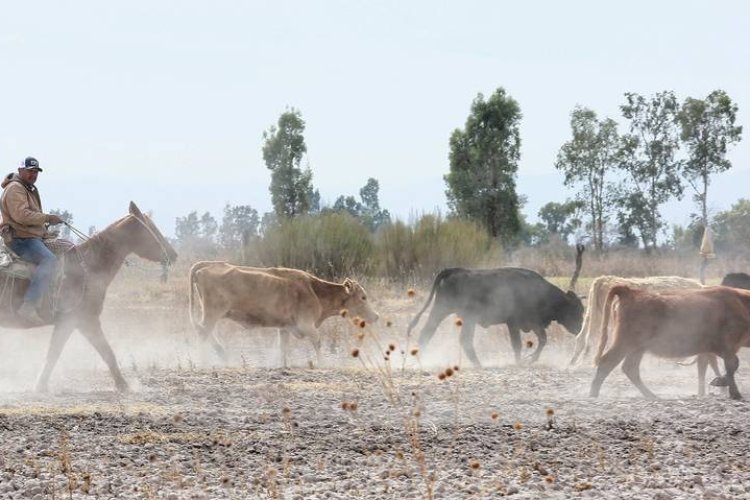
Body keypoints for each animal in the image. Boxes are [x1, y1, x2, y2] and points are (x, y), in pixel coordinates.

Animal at [0, 201, 178, 392]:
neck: (88, 266)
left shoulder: (78, 322)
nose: (173, 255)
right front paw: (123, 385)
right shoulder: (80, 320)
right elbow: (99, 351)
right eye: (151, 228)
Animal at [186, 262, 378, 368]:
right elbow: (317, 341)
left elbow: (282, 347)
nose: (376, 316)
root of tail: (208, 265)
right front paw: (322, 363)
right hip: (212, 314)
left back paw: (222, 354)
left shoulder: (285, 328)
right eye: (363, 297)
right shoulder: (306, 325)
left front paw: (282, 364)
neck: (315, 291)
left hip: (212, 315)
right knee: (203, 333)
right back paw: (202, 360)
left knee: (206, 333)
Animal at [406, 268, 588, 366]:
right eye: (577, 309)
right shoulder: (515, 323)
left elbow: (541, 340)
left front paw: (526, 360)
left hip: (443, 313)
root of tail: (455, 270)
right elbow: (520, 344)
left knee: (428, 333)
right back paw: (478, 364)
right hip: (460, 316)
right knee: (463, 340)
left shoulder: (531, 324)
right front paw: (523, 361)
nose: (580, 328)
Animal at [592, 288, 750, 400]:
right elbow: (732, 365)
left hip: (638, 349)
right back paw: (593, 394)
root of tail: (631, 292)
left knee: (630, 368)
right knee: (607, 362)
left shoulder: (711, 350)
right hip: (625, 343)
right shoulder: (726, 347)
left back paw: (651, 395)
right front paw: (732, 391)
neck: (742, 304)